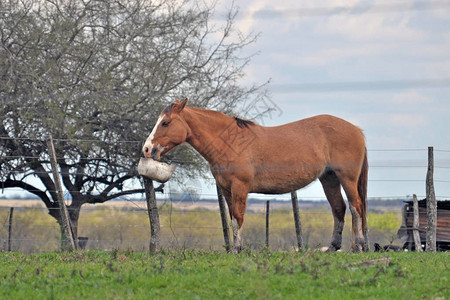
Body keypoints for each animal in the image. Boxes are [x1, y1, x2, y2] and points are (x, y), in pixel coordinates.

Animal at [142, 99, 368, 252]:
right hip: (329, 178)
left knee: (356, 207)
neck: (230, 141)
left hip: (347, 178)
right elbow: (233, 217)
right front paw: (235, 249)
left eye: (165, 123)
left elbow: (238, 217)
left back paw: (358, 246)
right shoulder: (226, 189)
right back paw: (333, 247)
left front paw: (237, 249)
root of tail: (356, 130)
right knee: (339, 208)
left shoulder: (240, 187)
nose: (146, 149)